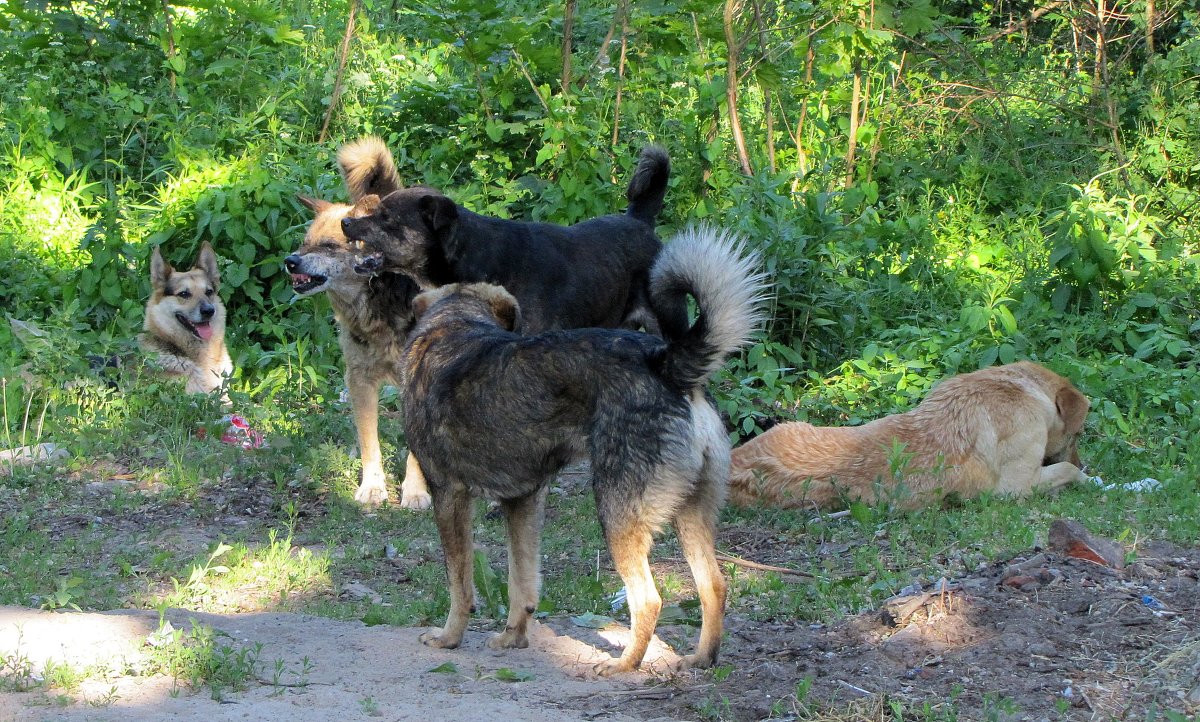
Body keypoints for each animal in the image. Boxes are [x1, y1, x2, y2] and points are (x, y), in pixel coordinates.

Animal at [724, 357, 1094, 506]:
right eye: (1078, 435)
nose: (1086, 462)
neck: (1020, 388)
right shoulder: (1014, 488)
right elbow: (1066, 469)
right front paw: (1088, 479)